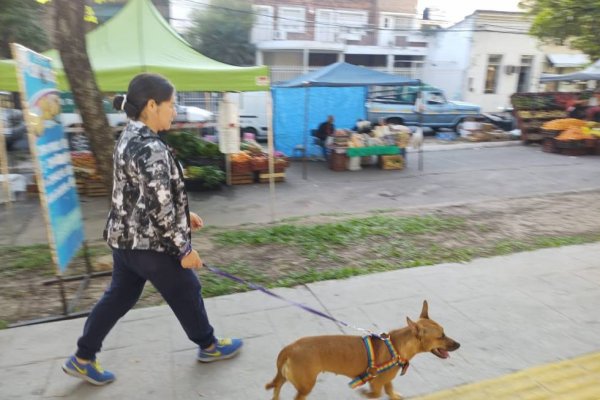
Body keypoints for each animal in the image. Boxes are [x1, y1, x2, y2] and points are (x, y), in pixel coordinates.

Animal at [266, 300, 460, 400]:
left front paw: (394, 396)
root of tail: (290, 348)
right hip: (305, 386)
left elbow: (389, 391)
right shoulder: (376, 383)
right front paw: (364, 393)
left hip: (286, 378)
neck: (396, 347)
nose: (458, 345)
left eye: (444, 332)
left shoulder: (386, 380)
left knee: (277, 388)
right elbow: (375, 393)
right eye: (441, 336)